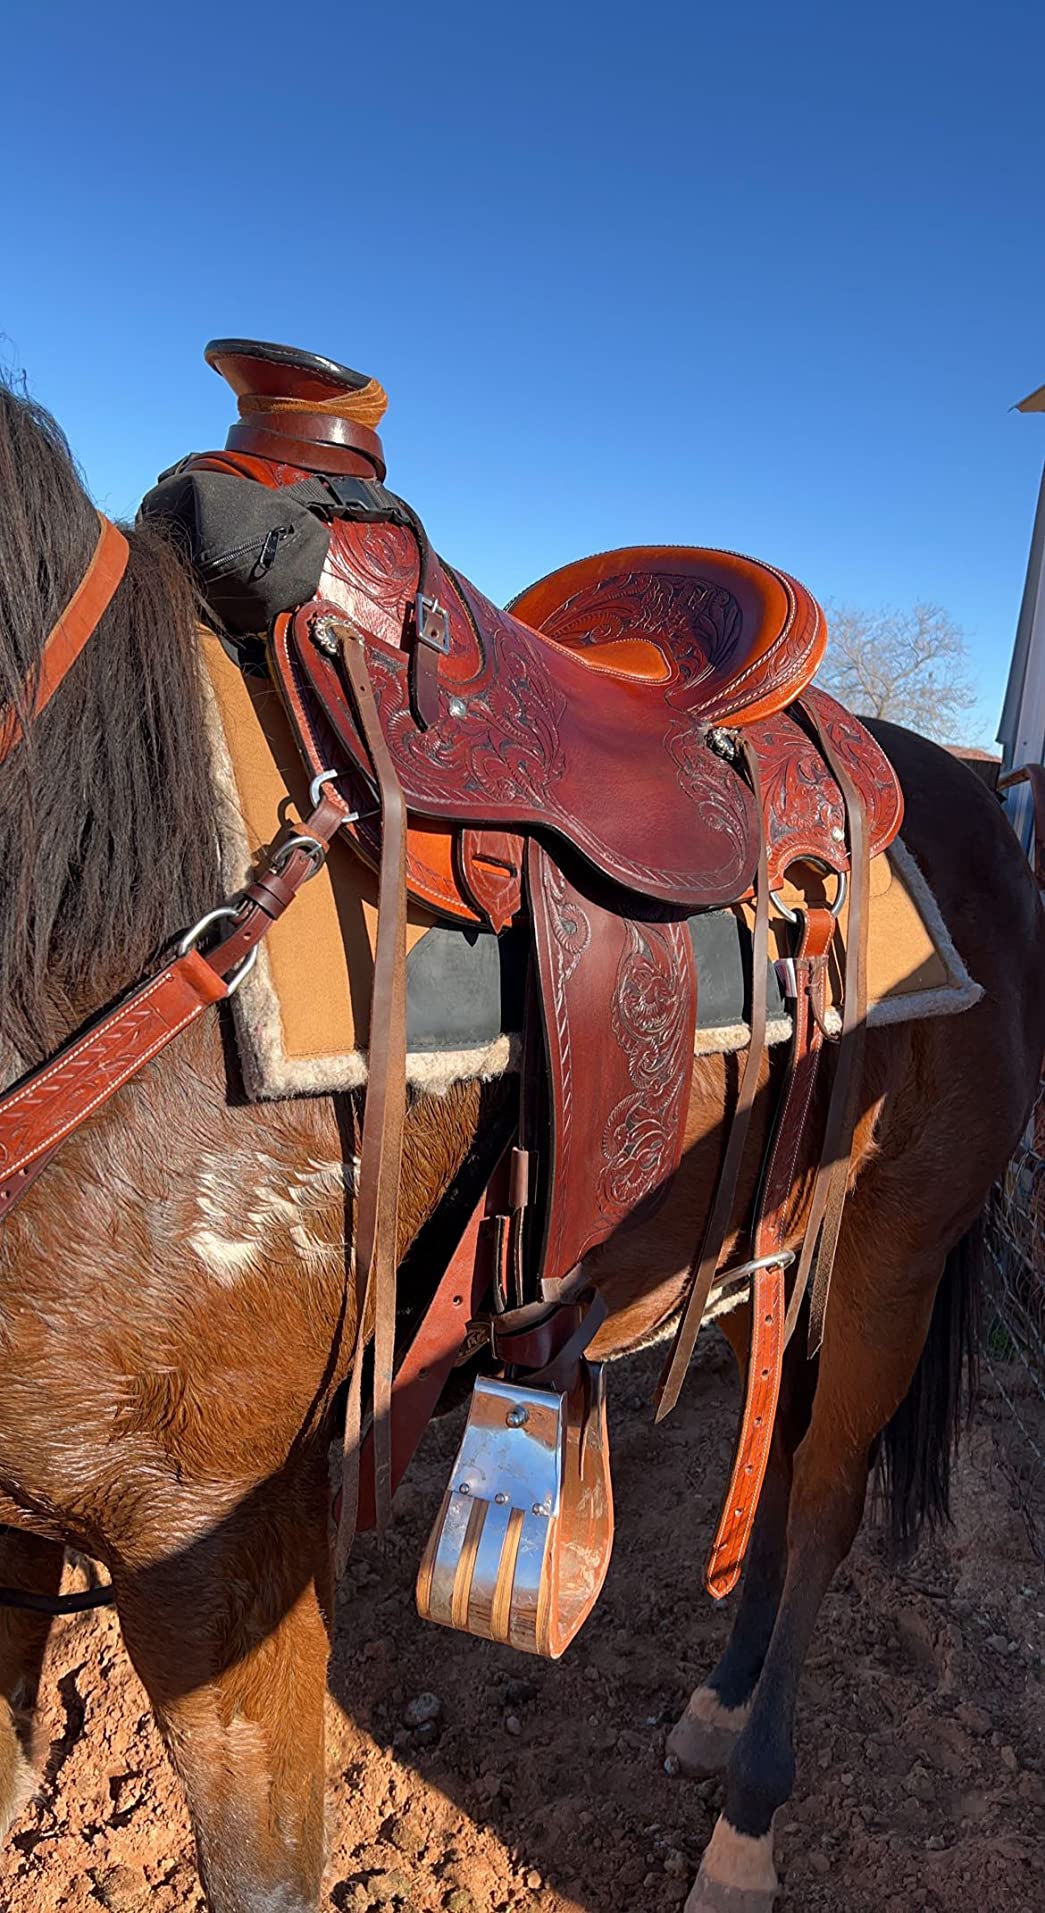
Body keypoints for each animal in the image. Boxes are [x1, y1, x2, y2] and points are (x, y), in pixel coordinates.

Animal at [0, 376, 1041, 1913]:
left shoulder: (215, 1543)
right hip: (793, 1232)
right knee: (780, 1465)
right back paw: (717, 1706)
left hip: (898, 1247)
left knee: (823, 1498)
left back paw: (745, 1823)